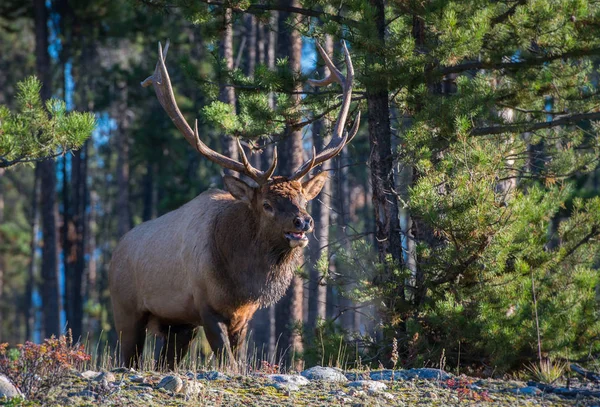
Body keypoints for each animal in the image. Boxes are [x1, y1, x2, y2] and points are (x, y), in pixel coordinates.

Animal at [108, 39, 358, 370]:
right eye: (266, 204)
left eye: (303, 198)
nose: (303, 221)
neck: (242, 282)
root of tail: (114, 252)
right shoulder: (205, 306)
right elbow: (227, 362)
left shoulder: (243, 316)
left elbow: (237, 360)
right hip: (127, 310)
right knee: (128, 357)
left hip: (177, 325)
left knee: (165, 361)